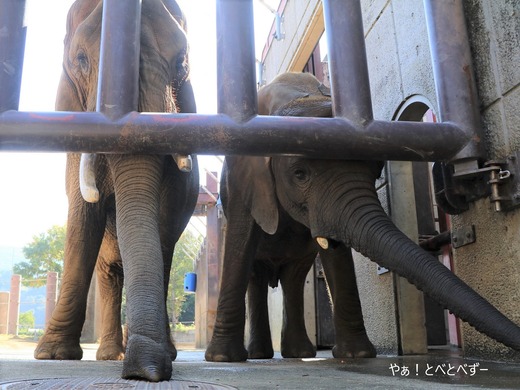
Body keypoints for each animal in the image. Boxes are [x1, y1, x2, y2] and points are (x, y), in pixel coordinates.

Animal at [33, 0, 199, 382]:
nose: (146, 373)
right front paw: (52, 355)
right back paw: (110, 354)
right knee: (108, 274)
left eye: (181, 61)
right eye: (81, 59)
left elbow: (164, 218)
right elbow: (83, 217)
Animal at [205, 72, 520, 362]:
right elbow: (240, 245)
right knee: (255, 277)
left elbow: (335, 255)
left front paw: (356, 355)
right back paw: (258, 354)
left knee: (294, 277)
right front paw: (221, 359)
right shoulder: (242, 179)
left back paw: (297, 353)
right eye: (299, 174)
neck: (299, 100)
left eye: (376, 168)